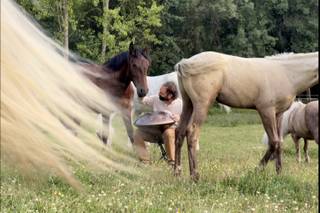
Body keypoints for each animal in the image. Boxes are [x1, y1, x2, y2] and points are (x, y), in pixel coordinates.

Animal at [175, 51, 318, 180]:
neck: (285, 72)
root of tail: (185, 62)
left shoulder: (278, 114)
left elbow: (279, 143)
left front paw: (279, 173)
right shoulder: (266, 111)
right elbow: (274, 142)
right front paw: (256, 170)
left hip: (188, 103)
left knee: (179, 132)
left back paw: (177, 173)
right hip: (202, 104)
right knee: (192, 134)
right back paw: (195, 176)